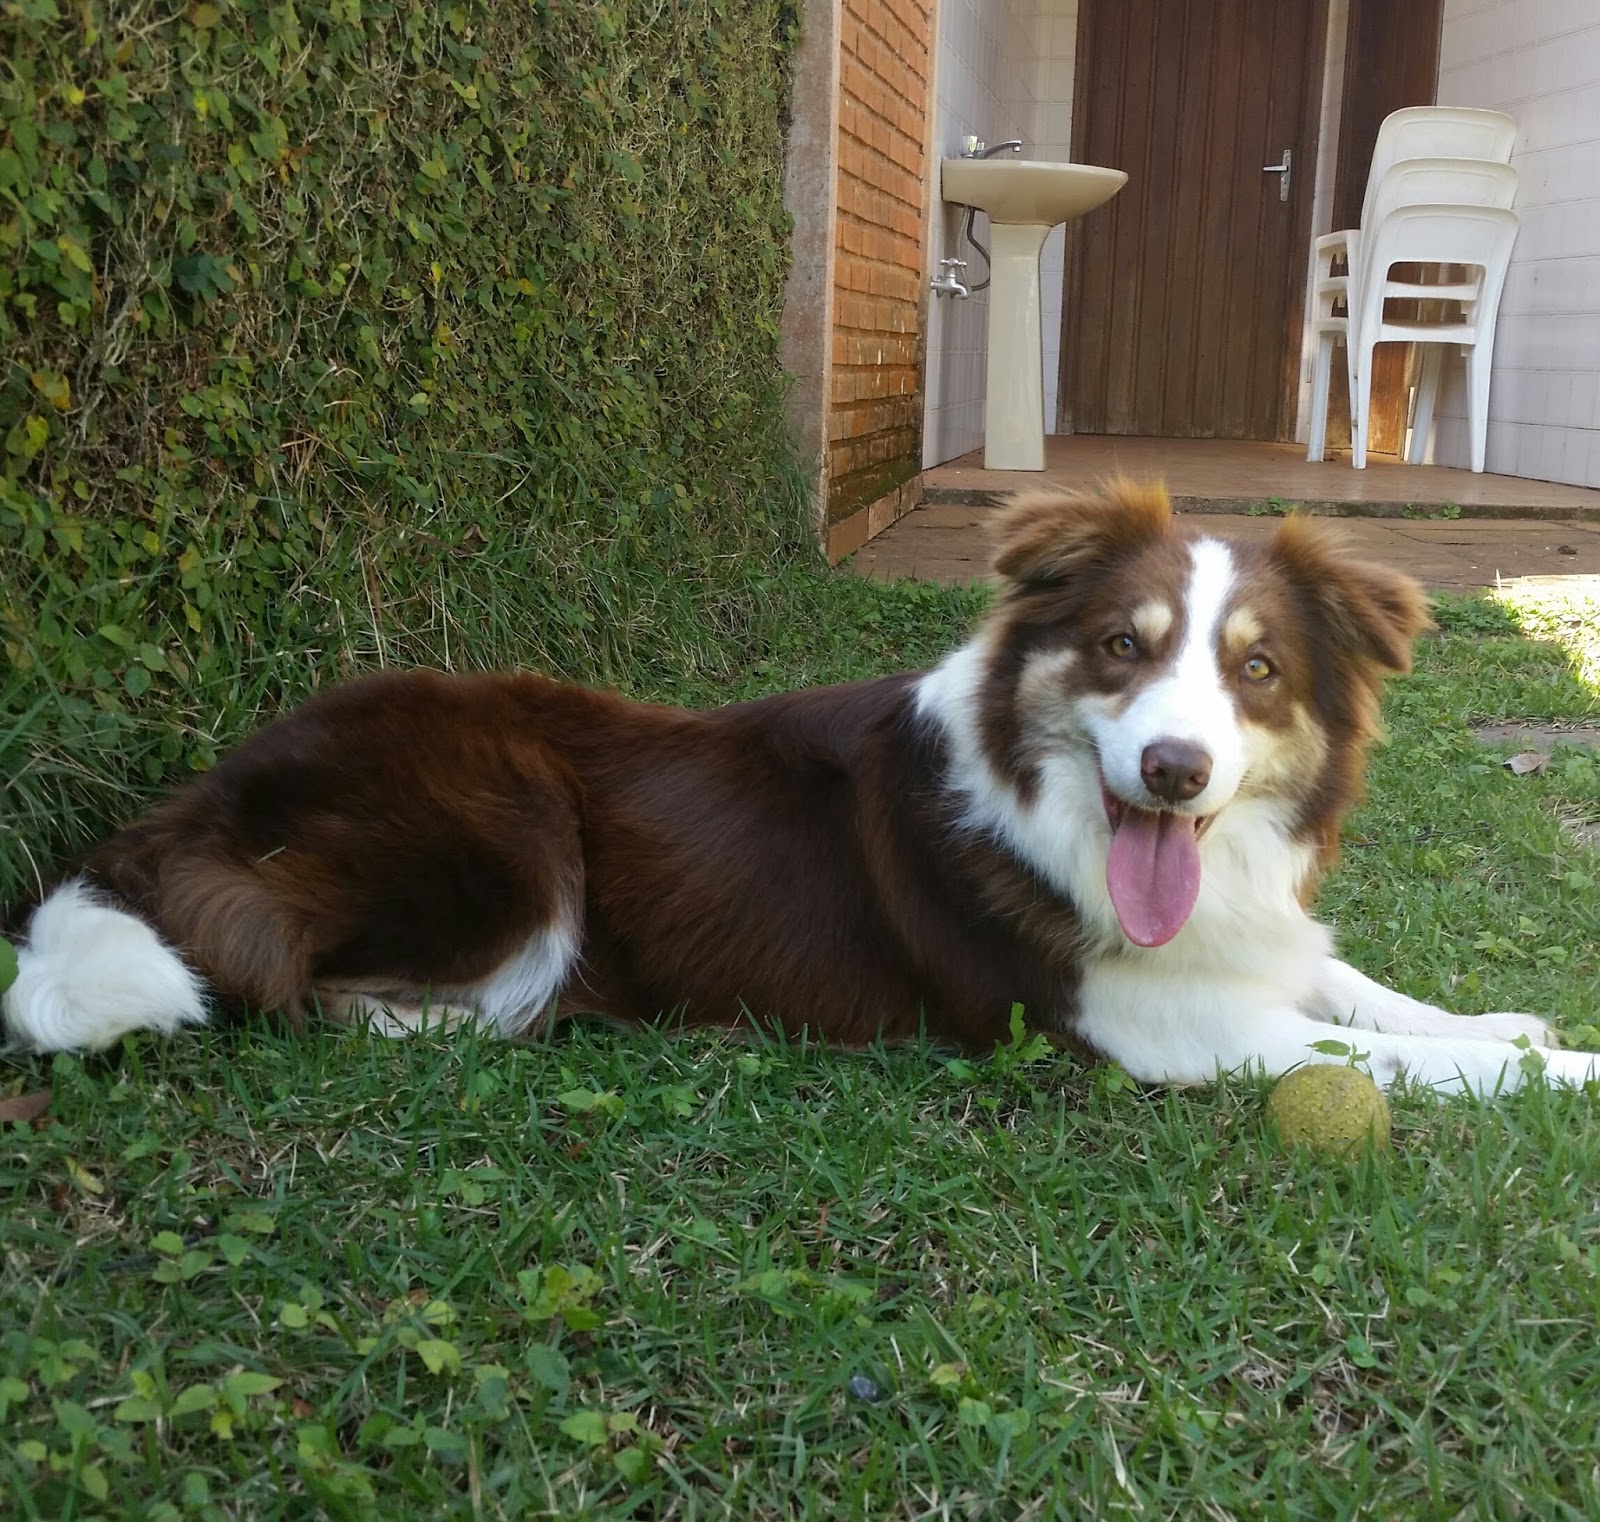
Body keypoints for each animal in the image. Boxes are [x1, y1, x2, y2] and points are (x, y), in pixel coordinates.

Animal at [3, 483, 1600, 1088]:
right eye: (1119, 647)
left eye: (1254, 669)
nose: (1174, 766)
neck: (1055, 817)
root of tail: (195, 795)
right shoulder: (1159, 1033)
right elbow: (1382, 1058)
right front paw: (1558, 1070)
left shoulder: (1242, 944)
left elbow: (1365, 991)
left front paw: (1506, 1017)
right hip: (506, 826)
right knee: (286, 969)